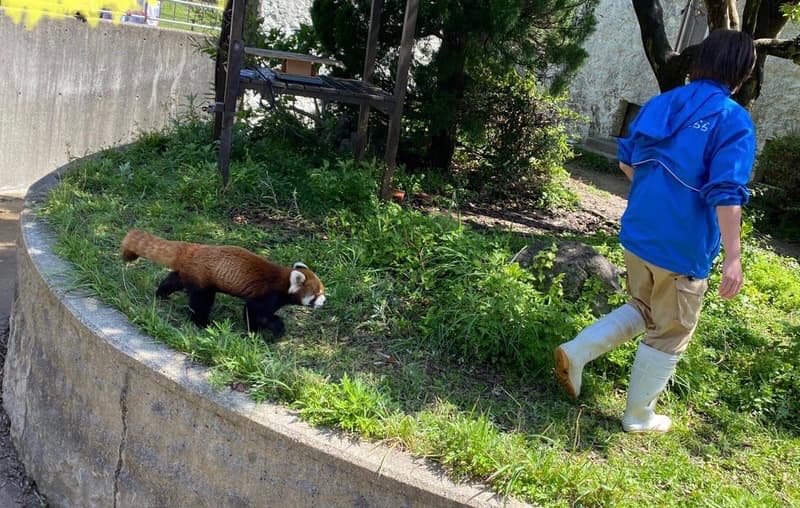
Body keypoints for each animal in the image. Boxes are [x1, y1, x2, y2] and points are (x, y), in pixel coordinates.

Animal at [119, 228, 324, 336]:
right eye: (316, 295)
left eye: (322, 292)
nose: (324, 301)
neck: (284, 281)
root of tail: (194, 249)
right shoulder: (267, 294)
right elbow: (254, 312)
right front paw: (262, 331)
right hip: (203, 281)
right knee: (201, 302)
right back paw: (202, 323)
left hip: (190, 273)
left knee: (173, 281)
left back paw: (161, 294)